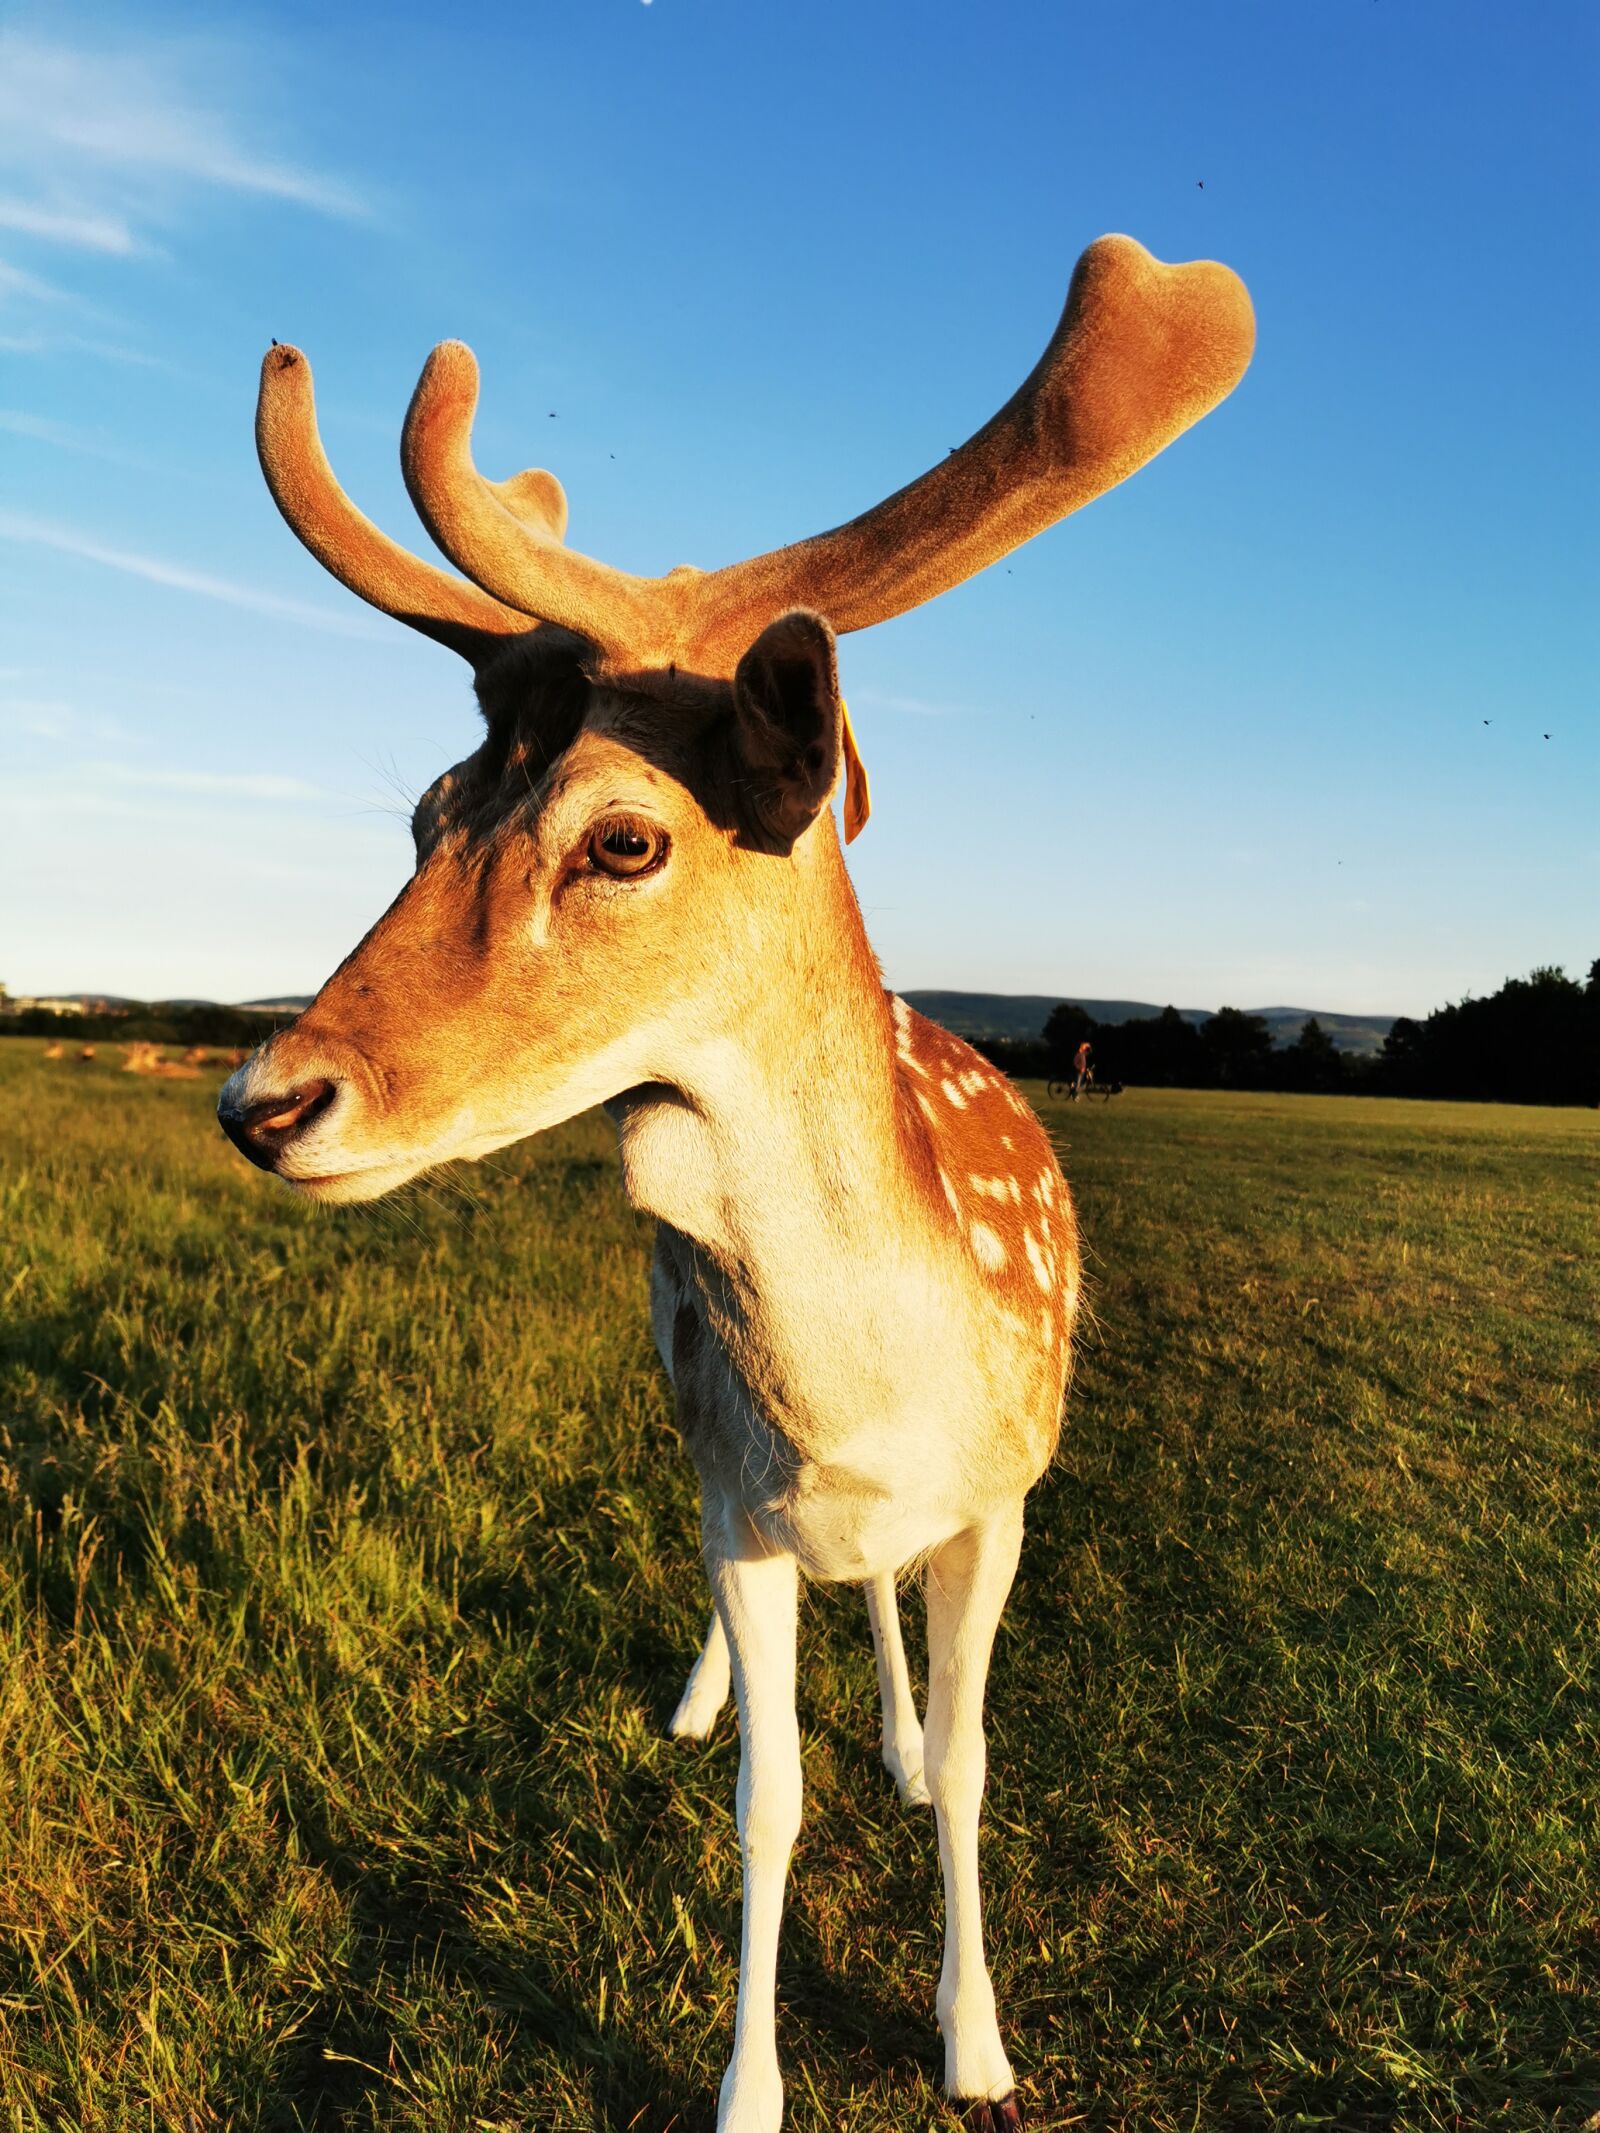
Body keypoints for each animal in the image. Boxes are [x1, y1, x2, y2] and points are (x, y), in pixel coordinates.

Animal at [218, 232, 1253, 2130]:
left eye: (623, 836)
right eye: (424, 814)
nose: (264, 1098)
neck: (872, 1408)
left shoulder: (1005, 1493)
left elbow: (978, 1764)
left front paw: (977, 2042)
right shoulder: (740, 1494)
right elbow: (769, 1799)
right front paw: (746, 2083)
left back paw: (897, 1730)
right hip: (682, 1398)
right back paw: (710, 1694)